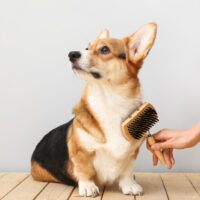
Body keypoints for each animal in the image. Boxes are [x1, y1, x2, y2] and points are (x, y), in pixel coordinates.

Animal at [30, 22, 156, 196]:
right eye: (86, 48)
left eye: (105, 49)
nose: (71, 54)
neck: (109, 101)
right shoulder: (81, 152)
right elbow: (85, 170)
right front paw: (88, 187)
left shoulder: (132, 154)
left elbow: (126, 172)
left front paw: (130, 186)